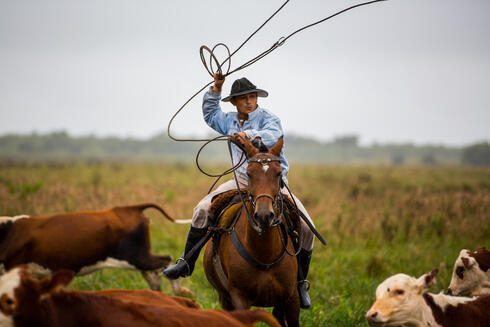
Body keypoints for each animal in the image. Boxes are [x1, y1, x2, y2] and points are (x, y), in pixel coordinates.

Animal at [0, 204, 191, 296]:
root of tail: (129, 208)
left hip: (135, 257)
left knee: (165, 261)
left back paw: (180, 291)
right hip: (139, 257)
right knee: (154, 272)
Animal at [202, 136, 300, 327]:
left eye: (278, 173)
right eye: (249, 174)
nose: (264, 215)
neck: (265, 256)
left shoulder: (292, 299)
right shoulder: (240, 298)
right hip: (225, 299)